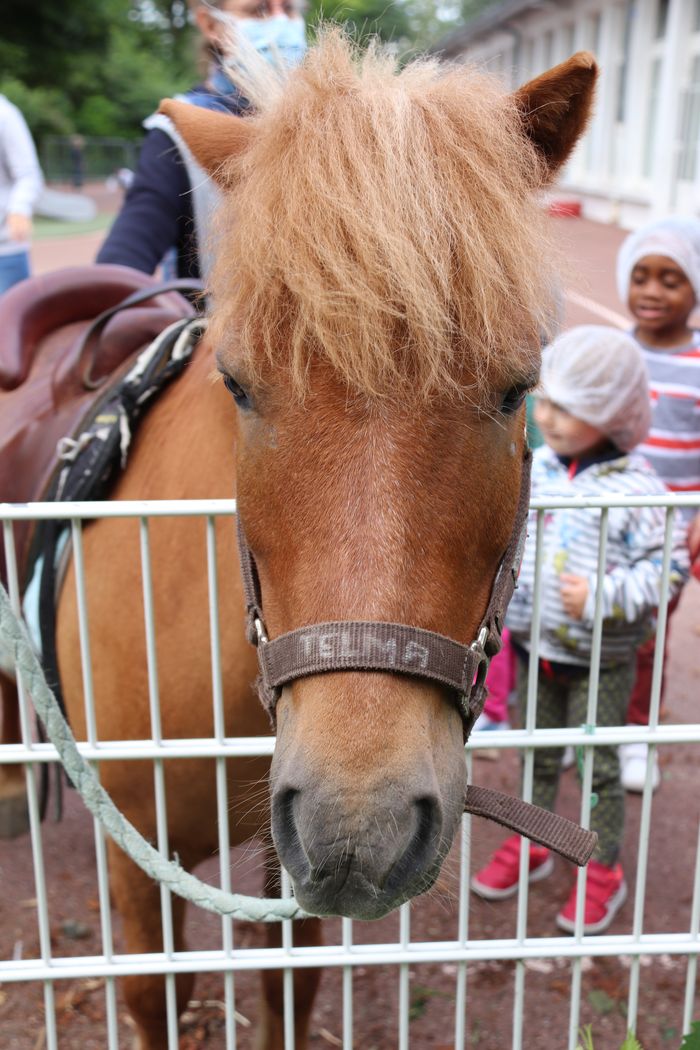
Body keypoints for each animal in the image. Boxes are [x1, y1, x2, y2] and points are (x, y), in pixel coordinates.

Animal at [5, 32, 596, 1050]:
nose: (361, 819)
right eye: (239, 385)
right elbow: (153, 994)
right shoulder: (136, 863)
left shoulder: (293, 871)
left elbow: (290, 992)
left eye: (517, 389)